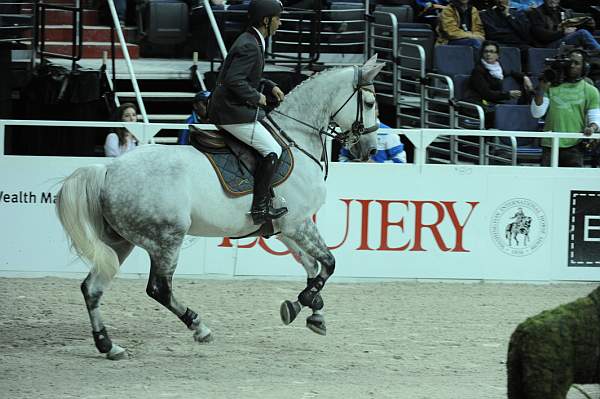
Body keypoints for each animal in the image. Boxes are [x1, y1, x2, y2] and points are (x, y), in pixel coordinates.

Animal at [56, 55, 384, 360]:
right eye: (369, 102)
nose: (370, 150)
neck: (297, 140)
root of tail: (108, 169)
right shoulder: (298, 224)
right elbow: (328, 265)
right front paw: (297, 306)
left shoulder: (284, 229)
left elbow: (312, 267)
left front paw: (314, 312)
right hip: (166, 238)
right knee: (159, 288)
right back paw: (199, 327)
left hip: (121, 240)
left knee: (92, 288)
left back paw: (108, 345)